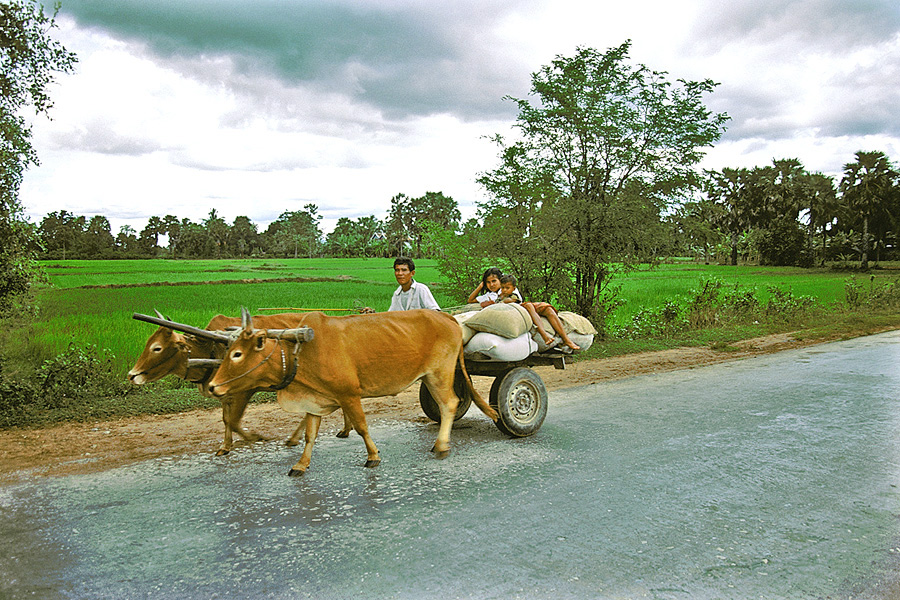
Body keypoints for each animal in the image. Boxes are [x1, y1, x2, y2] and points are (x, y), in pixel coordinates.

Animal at [128, 311, 352, 455]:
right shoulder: (224, 393)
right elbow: (226, 420)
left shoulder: (244, 390)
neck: (212, 348)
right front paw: (225, 447)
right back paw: (341, 430)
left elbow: (234, 422)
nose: (131, 375)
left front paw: (256, 437)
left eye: (157, 348)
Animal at [206, 308, 499, 475]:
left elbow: (361, 427)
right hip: (431, 376)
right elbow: (310, 436)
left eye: (236, 354)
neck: (301, 352)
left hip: (439, 373)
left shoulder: (349, 395)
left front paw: (373, 456)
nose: (212, 386)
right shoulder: (315, 400)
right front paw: (300, 464)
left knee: (449, 403)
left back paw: (441, 445)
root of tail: (447, 316)